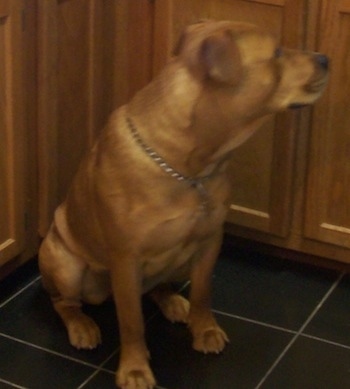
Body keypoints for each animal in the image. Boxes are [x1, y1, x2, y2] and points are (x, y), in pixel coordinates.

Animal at [38, 20, 328, 388]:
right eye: (276, 52)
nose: (325, 58)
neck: (190, 166)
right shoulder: (126, 259)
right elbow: (131, 322)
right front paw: (135, 368)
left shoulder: (209, 241)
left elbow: (203, 293)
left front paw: (204, 330)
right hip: (67, 266)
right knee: (64, 302)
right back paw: (82, 326)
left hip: (176, 262)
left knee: (157, 287)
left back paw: (174, 302)